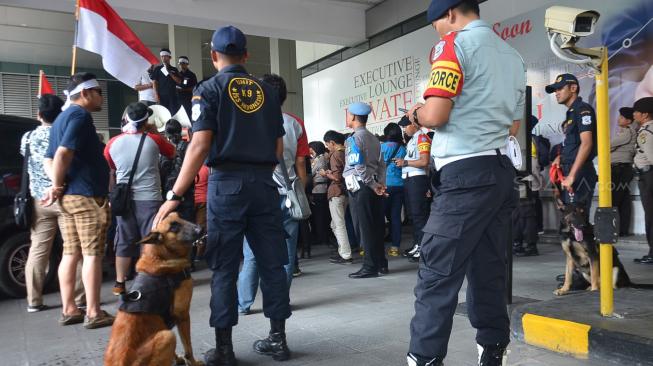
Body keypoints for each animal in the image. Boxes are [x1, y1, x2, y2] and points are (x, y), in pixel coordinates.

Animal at [104, 213, 204, 366]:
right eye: (173, 227)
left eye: (180, 217)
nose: (201, 229)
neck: (160, 256)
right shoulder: (183, 315)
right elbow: (188, 347)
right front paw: (192, 362)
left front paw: (177, 358)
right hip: (168, 336)